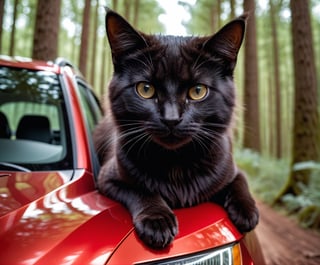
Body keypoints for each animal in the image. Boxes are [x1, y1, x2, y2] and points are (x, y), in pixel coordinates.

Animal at [94, 9, 258, 250]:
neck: (176, 166)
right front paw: (157, 221)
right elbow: (140, 188)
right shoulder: (109, 177)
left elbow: (240, 181)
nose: (171, 119)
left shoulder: (230, 169)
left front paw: (247, 212)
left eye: (198, 91)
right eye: (145, 89)